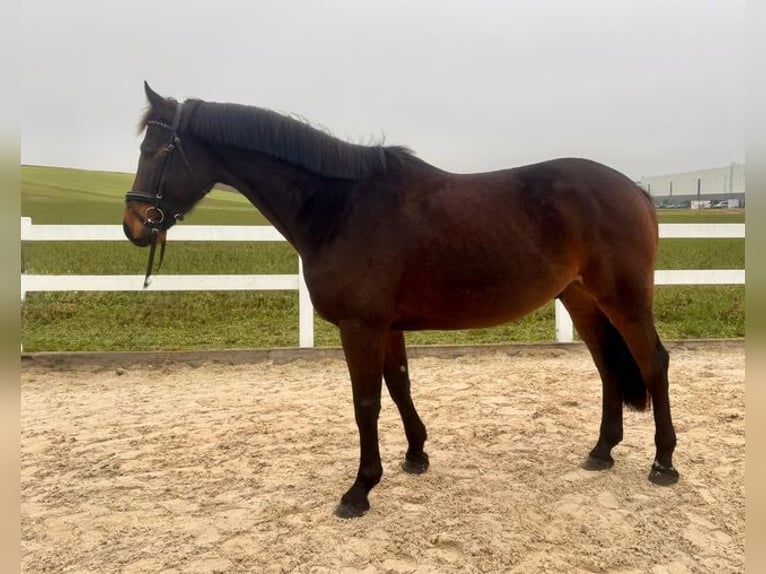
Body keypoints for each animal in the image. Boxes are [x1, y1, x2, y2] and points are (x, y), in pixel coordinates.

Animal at [123, 82, 679, 518]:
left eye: (156, 152)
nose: (134, 225)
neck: (342, 207)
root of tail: (635, 189)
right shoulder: (387, 327)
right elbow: (400, 386)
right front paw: (415, 456)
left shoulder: (360, 327)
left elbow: (366, 402)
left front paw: (360, 488)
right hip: (581, 299)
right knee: (608, 367)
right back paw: (602, 451)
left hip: (624, 299)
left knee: (652, 361)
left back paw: (663, 463)